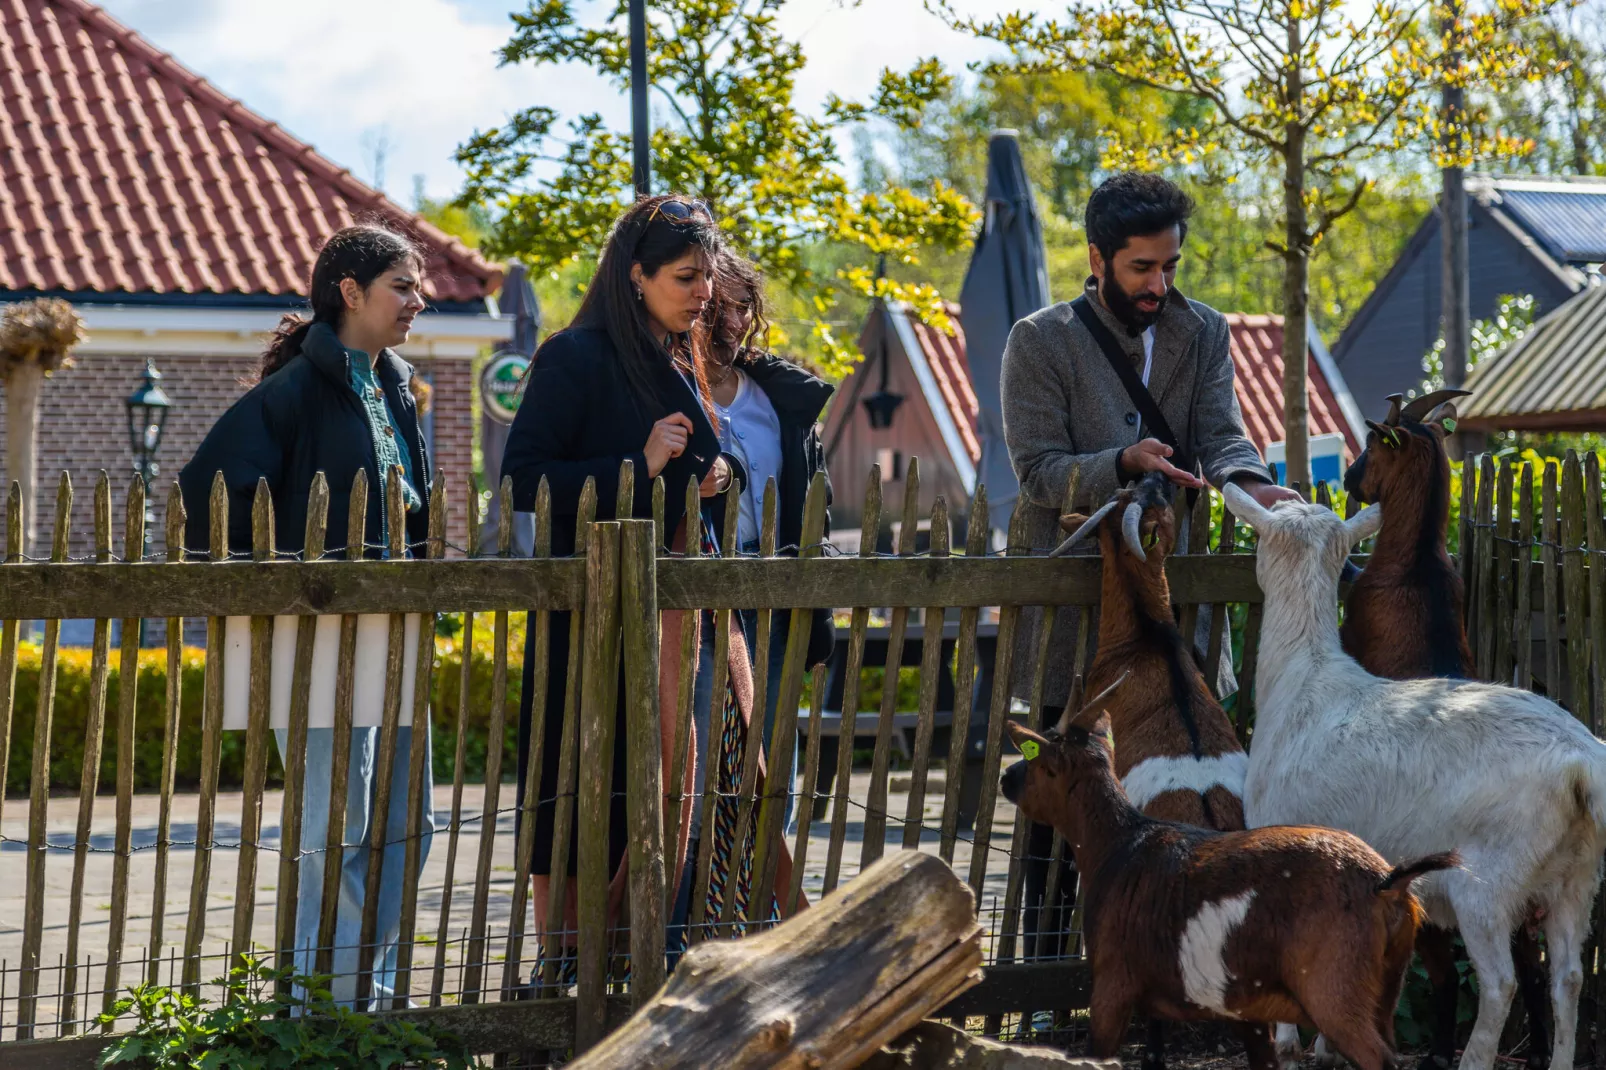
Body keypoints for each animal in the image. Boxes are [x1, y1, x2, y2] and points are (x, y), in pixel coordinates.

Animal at [1220, 481, 1606, 1070]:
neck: (1298, 677)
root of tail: (1580, 763)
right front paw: (1327, 1047)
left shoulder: (1280, 833)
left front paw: (1289, 1044)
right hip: (1576, 875)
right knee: (1568, 978)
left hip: (1488, 879)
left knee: (1501, 984)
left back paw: (1473, 1059)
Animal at [1342, 387, 1554, 1066]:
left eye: (1373, 442)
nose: (1350, 481)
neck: (1414, 567)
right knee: (1533, 967)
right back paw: (1537, 1050)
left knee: (1444, 972)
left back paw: (1439, 1048)